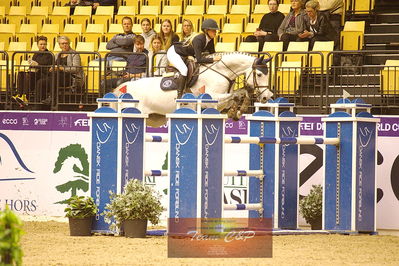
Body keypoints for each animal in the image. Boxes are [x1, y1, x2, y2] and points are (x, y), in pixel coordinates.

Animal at [114, 52, 274, 127]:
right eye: (259, 74)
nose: (266, 97)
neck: (220, 72)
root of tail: (121, 88)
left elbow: (238, 94)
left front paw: (237, 112)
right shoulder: (212, 100)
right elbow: (234, 95)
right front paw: (235, 112)